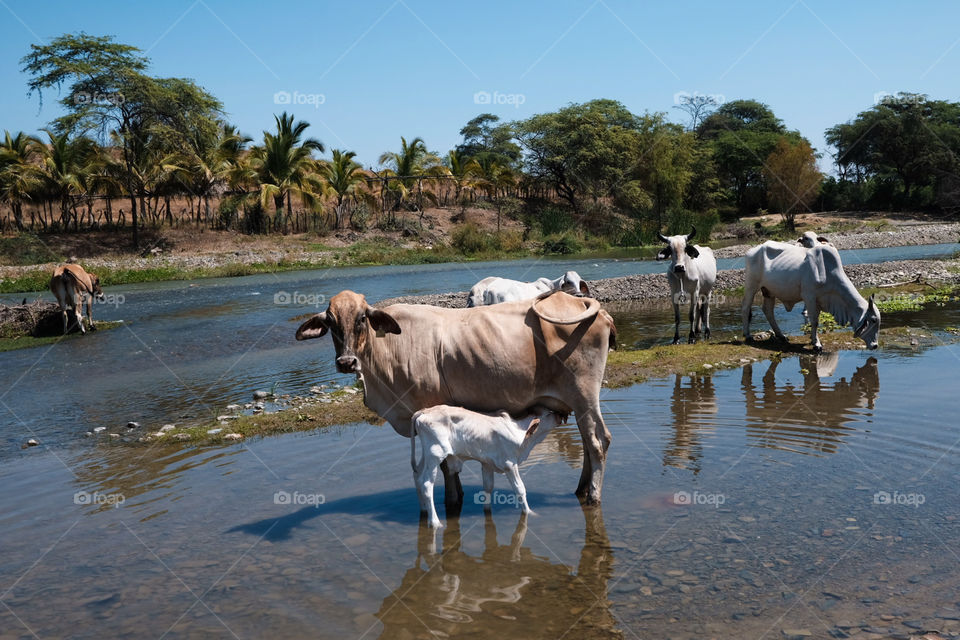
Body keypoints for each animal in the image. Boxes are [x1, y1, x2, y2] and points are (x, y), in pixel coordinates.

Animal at [296, 288, 620, 504]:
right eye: (331, 323)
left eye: (362, 318)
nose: (346, 362)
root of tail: (584, 304)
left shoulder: (430, 410)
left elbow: (444, 466)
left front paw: (453, 500)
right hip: (578, 402)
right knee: (588, 442)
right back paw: (580, 489)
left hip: (584, 394)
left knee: (598, 441)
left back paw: (593, 496)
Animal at [408, 408, 568, 528]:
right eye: (548, 413)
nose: (560, 415)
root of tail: (424, 411)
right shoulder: (510, 464)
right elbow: (520, 489)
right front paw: (529, 512)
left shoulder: (487, 464)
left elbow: (488, 487)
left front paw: (487, 510)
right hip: (435, 454)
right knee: (426, 484)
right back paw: (434, 522)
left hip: (427, 455)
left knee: (417, 477)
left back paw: (423, 511)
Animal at [740, 239, 880, 350]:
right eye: (873, 320)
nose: (875, 345)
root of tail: (753, 249)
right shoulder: (809, 297)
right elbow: (814, 321)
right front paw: (817, 344)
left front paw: (813, 340)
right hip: (751, 286)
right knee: (746, 307)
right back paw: (747, 335)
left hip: (769, 292)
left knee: (768, 311)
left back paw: (781, 335)